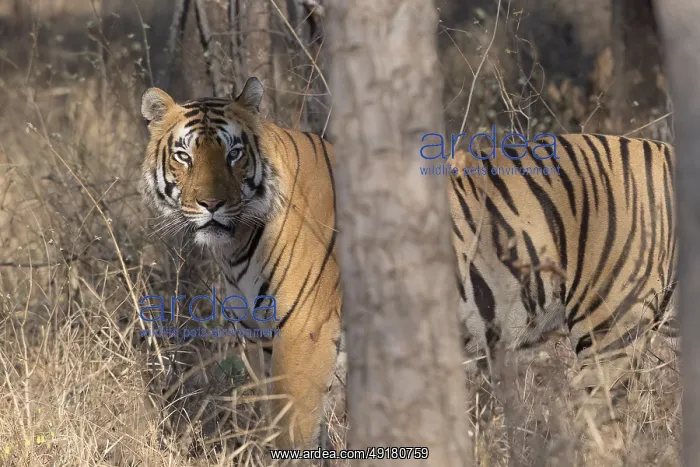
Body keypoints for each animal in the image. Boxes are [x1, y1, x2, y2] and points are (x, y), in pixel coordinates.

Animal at [140, 77, 341, 450]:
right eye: (184, 156)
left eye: (233, 153)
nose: (211, 203)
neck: (236, 248)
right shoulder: (258, 337)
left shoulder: (305, 333)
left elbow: (295, 430)